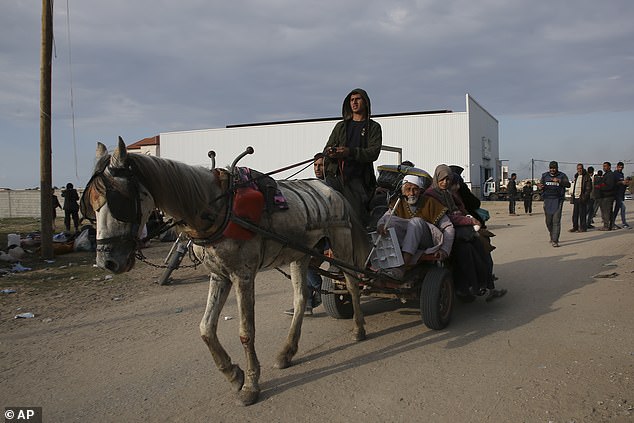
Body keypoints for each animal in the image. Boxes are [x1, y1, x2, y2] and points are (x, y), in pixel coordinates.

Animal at [84, 139, 370, 408]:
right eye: (91, 205)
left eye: (119, 200)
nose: (107, 262)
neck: (218, 208)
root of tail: (332, 190)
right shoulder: (219, 275)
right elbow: (205, 328)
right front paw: (233, 374)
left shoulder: (243, 275)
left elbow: (245, 332)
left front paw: (251, 385)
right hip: (300, 254)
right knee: (300, 298)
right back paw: (287, 352)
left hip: (340, 243)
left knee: (351, 283)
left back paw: (358, 328)